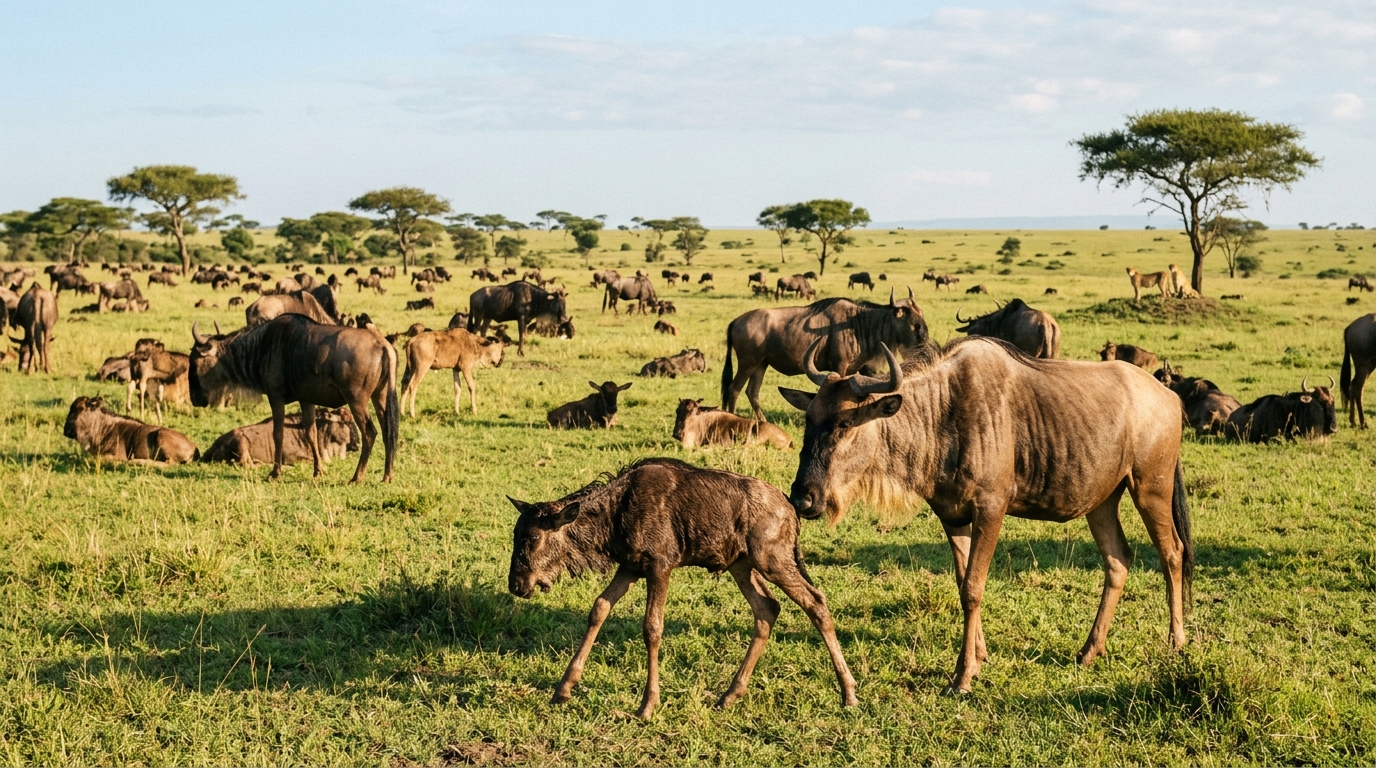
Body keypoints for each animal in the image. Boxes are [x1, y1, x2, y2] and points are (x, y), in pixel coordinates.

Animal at [506, 458, 857, 719]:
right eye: (516, 534)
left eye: (533, 537)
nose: (517, 585)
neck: (616, 514)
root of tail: (790, 510)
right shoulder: (630, 567)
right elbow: (599, 608)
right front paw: (563, 687)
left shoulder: (660, 566)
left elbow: (652, 627)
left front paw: (647, 705)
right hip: (740, 565)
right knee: (767, 609)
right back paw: (730, 694)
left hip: (772, 560)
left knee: (815, 601)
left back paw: (849, 692)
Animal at [722, 290, 928, 420]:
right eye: (916, 325)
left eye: (923, 318)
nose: (925, 345)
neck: (857, 324)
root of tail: (735, 321)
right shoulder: (840, 366)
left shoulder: (855, 369)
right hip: (748, 363)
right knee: (734, 388)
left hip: (761, 364)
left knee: (752, 392)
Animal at [780, 337, 1193, 693]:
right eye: (809, 420)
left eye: (844, 424)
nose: (802, 498)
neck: (942, 416)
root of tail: (1170, 397)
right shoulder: (952, 516)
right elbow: (962, 582)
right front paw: (977, 658)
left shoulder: (991, 510)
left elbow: (974, 588)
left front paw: (962, 676)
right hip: (1103, 502)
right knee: (1118, 560)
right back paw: (1089, 651)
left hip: (1151, 489)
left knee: (1172, 553)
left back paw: (1176, 642)